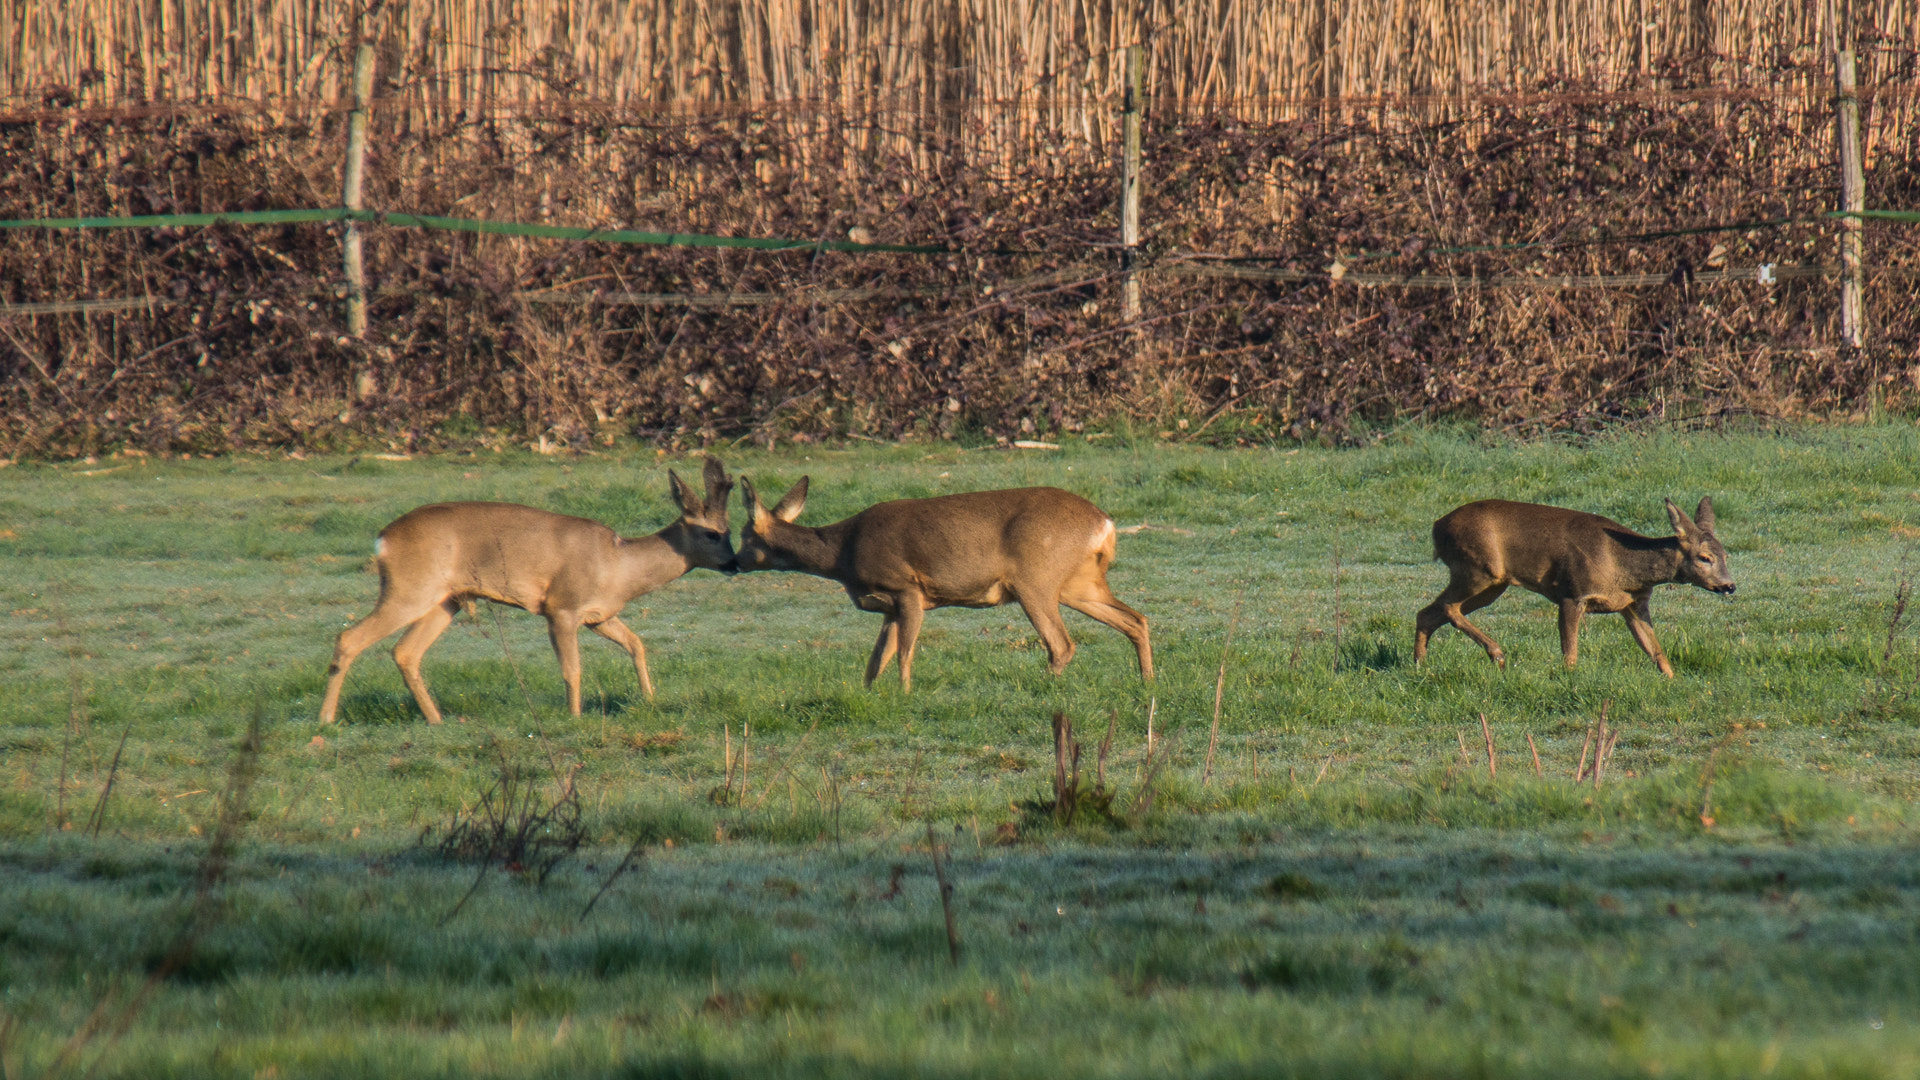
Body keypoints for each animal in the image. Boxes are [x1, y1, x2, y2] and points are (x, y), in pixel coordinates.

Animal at [314, 449, 733, 718]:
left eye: (729, 531)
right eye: (712, 534)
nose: (734, 562)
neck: (619, 565)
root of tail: (382, 539)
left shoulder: (598, 616)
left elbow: (637, 645)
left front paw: (649, 700)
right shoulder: (561, 607)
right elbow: (572, 669)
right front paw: (575, 718)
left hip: (445, 600)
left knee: (405, 652)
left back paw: (436, 719)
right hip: (409, 587)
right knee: (349, 638)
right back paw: (326, 720)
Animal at [733, 476, 1152, 687]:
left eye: (743, 536)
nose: (732, 562)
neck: (842, 552)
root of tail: (1105, 522)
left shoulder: (907, 589)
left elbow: (903, 654)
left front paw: (905, 696)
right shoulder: (889, 607)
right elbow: (876, 661)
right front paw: (871, 695)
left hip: (1036, 579)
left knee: (1062, 644)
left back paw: (1042, 688)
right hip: (1080, 583)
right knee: (1136, 620)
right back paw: (1147, 682)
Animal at [1413, 495, 1743, 672]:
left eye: (1726, 554)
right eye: (1704, 558)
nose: (1729, 586)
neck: (1621, 565)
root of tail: (1436, 527)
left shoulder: (1633, 604)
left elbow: (1655, 650)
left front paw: (1673, 680)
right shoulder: (1572, 592)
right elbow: (1570, 652)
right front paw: (1568, 679)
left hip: (1493, 583)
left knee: (1428, 612)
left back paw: (1420, 665)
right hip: (1479, 569)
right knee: (1448, 607)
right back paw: (1497, 653)